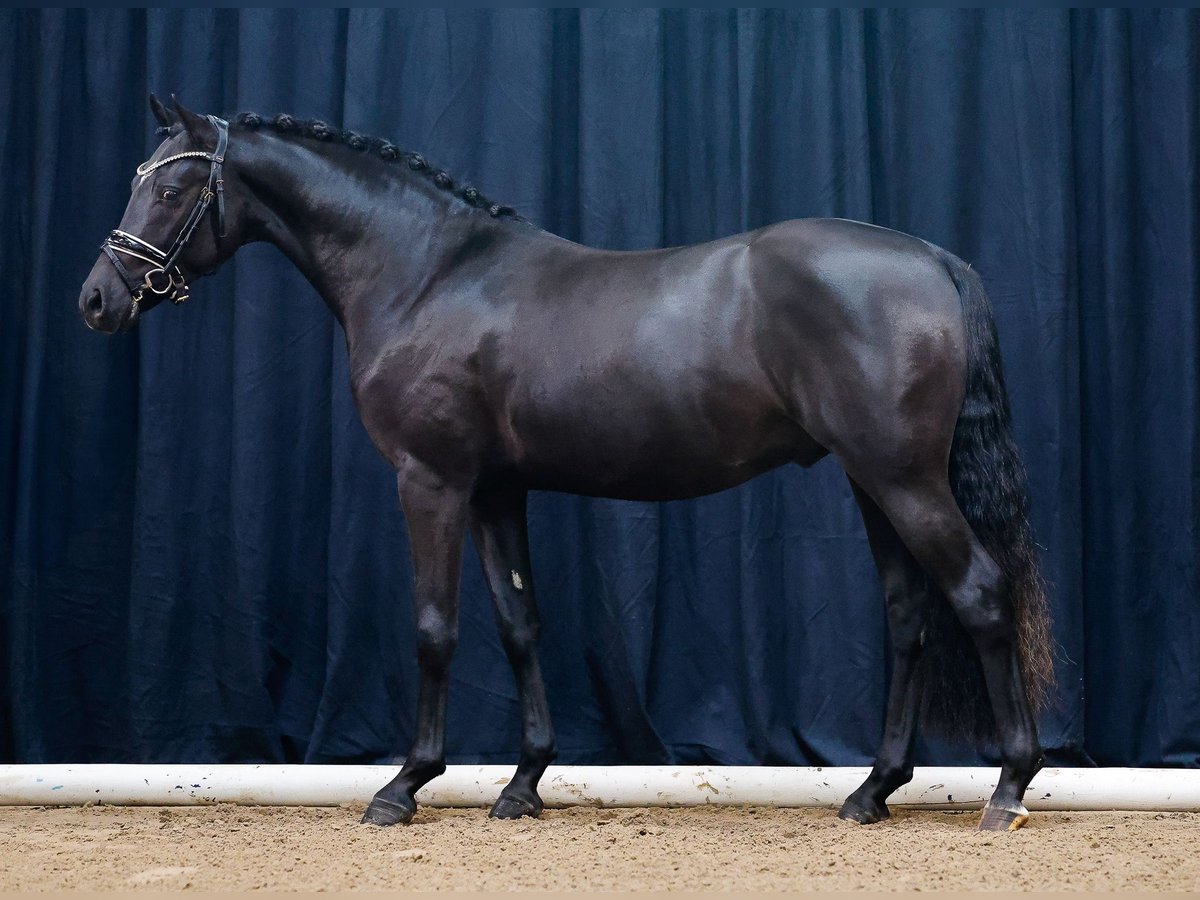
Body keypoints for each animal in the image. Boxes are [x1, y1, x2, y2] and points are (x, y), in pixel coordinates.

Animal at [77, 97, 1051, 830]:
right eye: (138, 181)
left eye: (174, 186)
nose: (96, 299)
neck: (429, 274)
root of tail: (932, 259)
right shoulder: (496, 491)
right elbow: (519, 625)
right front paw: (521, 785)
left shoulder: (430, 481)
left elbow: (434, 628)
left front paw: (403, 786)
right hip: (871, 483)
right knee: (909, 618)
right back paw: (873, 791)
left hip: (902, 480)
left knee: (978, 594)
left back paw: (1008, 788)